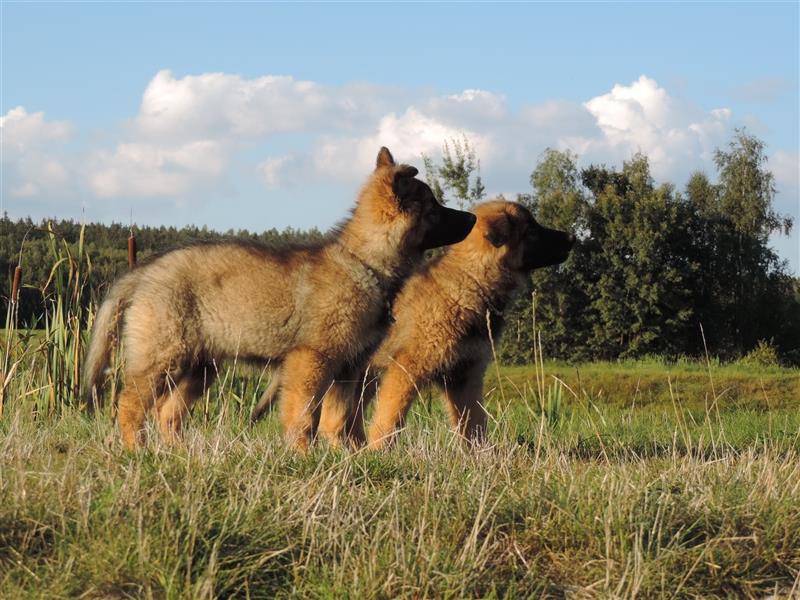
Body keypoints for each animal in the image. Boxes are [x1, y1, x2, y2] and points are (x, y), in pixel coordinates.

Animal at [83, 149, 476, 450]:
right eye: (434, 208)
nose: (473, 217)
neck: (363, 263)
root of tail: (143, 272)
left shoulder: (347, 368)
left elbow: (338, 421)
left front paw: (347, 457)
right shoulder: (311, 359)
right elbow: (303, 417)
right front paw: (303, 455)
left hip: (199, 367)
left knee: (168, 413)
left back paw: (178, 454)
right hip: (162, 357)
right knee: (130, 405)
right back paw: (137, 451)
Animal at [362, 199, 576, 448]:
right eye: (531, 231)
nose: (572, 237)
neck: (470, 283)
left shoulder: (465, 375)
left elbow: (473, 421)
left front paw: (480, 452)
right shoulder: (406, 370)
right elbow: (390, 417)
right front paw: (378, 449)